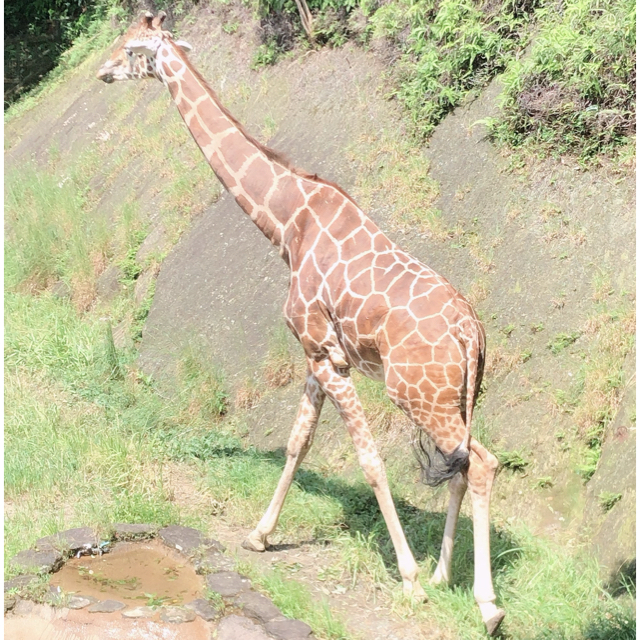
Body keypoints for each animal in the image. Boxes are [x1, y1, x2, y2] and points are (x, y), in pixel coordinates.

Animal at [95, 12, 504, 632]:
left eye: (127, 47)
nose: (101, 72)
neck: (287, 222)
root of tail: (471, 333)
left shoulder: (326, 355)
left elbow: (369, 460)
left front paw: (407, 579)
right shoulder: (317, 355)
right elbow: (297, 443)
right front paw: (259, 536)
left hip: (417, 392)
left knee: (481, 462)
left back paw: (485, 604)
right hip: (461, 395)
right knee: (462, 465)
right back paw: (443, 576)